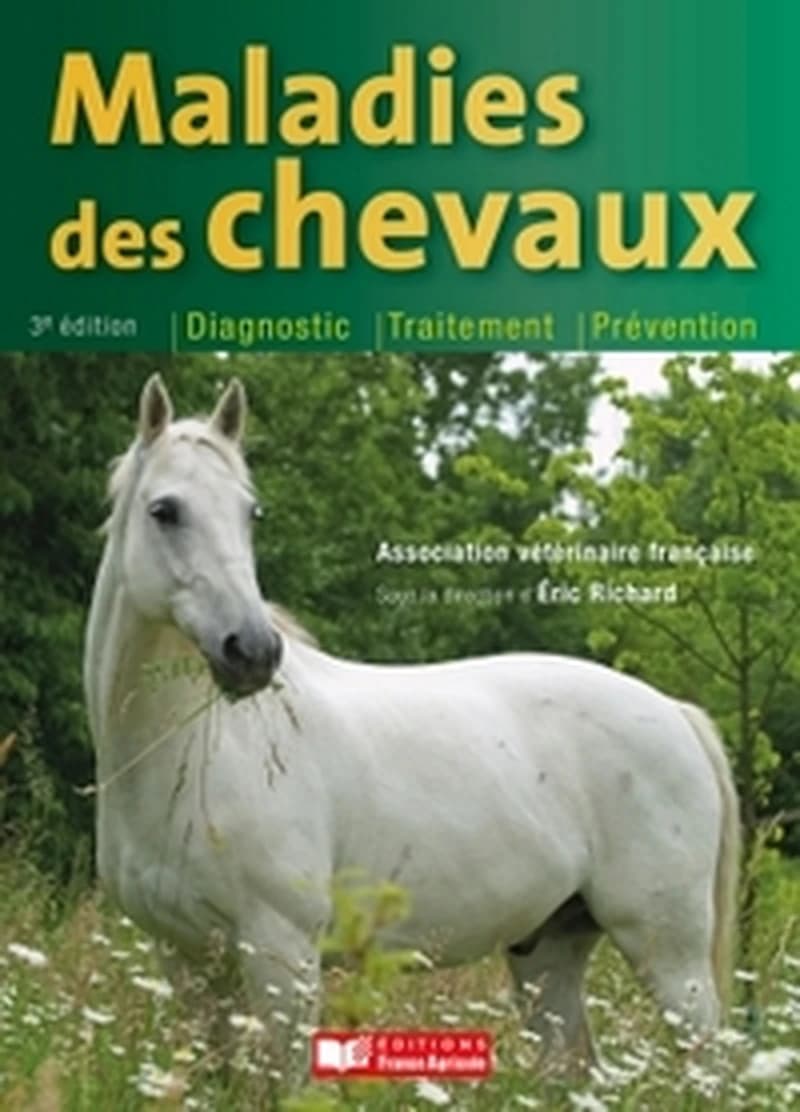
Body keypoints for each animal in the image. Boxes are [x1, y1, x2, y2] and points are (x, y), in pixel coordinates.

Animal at [84, 374, 740, 1075]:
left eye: (249, 512)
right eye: (165, 510)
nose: (253, 652)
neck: (193, 754)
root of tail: (676, 713)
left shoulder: (280, 955)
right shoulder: (185, 960)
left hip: (671, 959)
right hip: (548, 953)